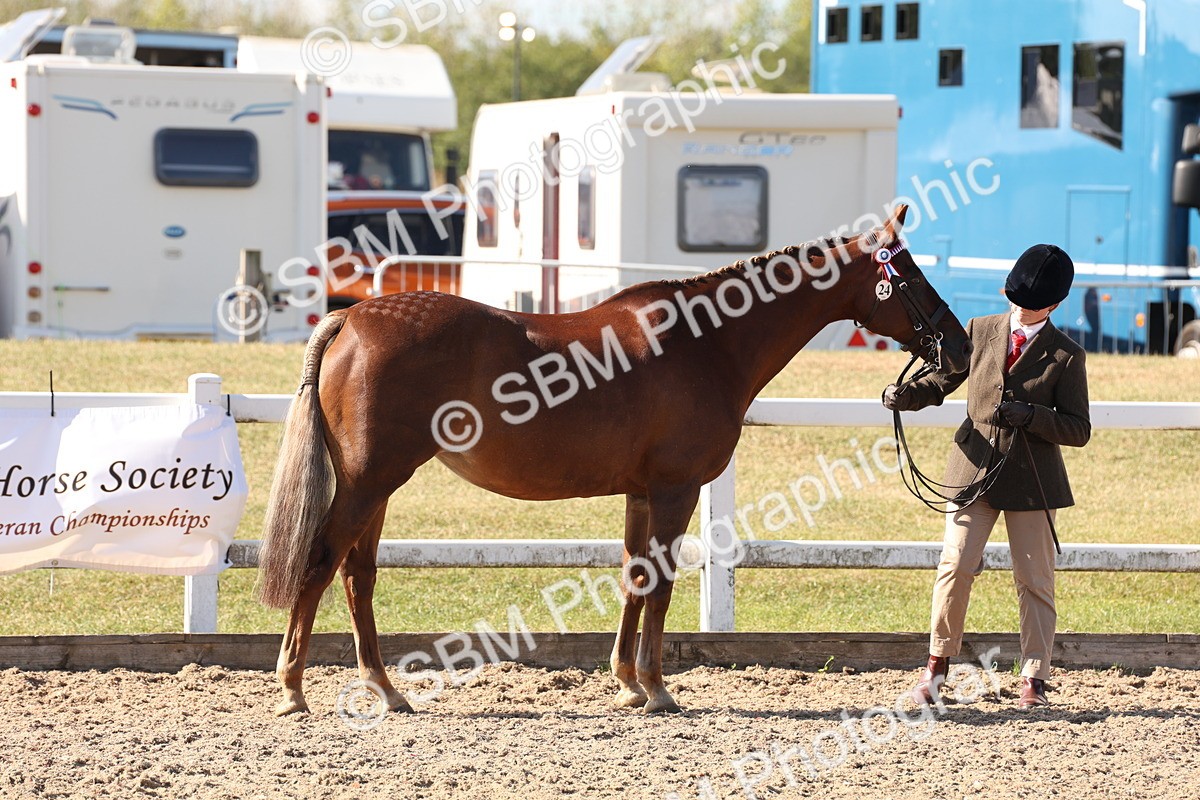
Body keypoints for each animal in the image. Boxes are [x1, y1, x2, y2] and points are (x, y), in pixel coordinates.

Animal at [257, 204, 972, 716]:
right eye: (909, 276)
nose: (960, 346)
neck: (708, 342)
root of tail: (351, 321)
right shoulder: (676, 489)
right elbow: (660, 584)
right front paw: (656, 688)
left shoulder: (640, 492)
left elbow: (633, 579)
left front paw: (627, 682)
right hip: (367, 483)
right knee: (322, 565)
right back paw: (293, 689)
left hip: (376, 488)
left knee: (358, 576)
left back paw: (385, 690)